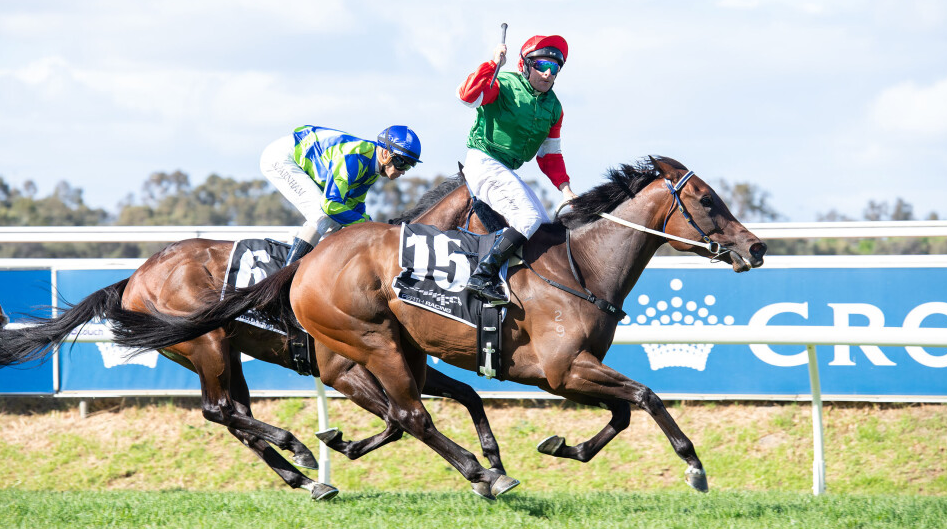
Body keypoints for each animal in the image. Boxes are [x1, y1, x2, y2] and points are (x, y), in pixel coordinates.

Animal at [0, 175, 514, 500]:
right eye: (492, 211)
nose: (509, 256)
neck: (379, 269)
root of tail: (135, 278)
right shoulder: (344, 371)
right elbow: (399, 417)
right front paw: (480, 471)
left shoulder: (401, 364)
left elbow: (458, 396)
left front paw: (492, 464)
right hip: (206, 344)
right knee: (218, 410)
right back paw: (297, 450)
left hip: (225, 352)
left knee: (237, 418)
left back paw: (307, 479)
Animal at [108, 156, 767, 494]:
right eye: (707, 201)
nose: (756, 248)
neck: (578, 266)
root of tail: (136, 277)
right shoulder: (559, 370)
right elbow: (646, 396)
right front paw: (694, 466)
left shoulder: (561, 371)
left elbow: (623, 411)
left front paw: (563, 446)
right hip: (268, 344)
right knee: (391, 415)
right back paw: (472, 474)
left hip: (298, 353)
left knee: (239, 414)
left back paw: (310, 472)